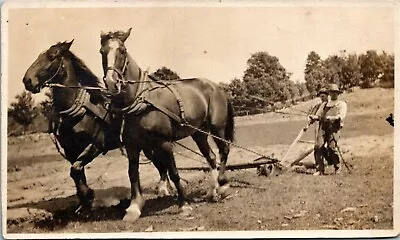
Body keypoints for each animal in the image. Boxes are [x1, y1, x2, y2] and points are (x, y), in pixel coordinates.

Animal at [21, 40, 170, 213]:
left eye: (52, 56)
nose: (27, 80)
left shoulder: (97, 145)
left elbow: (76, 169)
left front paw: (88, 196)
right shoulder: (70, 149)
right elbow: (77, 173)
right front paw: (84, 202)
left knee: (160, 162)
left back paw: (164, 188)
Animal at [100, 28, 236, 221]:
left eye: (122, 50)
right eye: (102, 52)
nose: (112, 83)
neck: (142, 101)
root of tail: (217, 86)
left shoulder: (164, 143)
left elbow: (174, 172)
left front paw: (184, 205)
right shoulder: (132, 146)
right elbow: (132, 173)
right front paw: (133, 208)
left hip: (217, 127)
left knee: (224, 150)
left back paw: (222, 185)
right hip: (198, 132)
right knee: (210, 157)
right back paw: (212, 192)